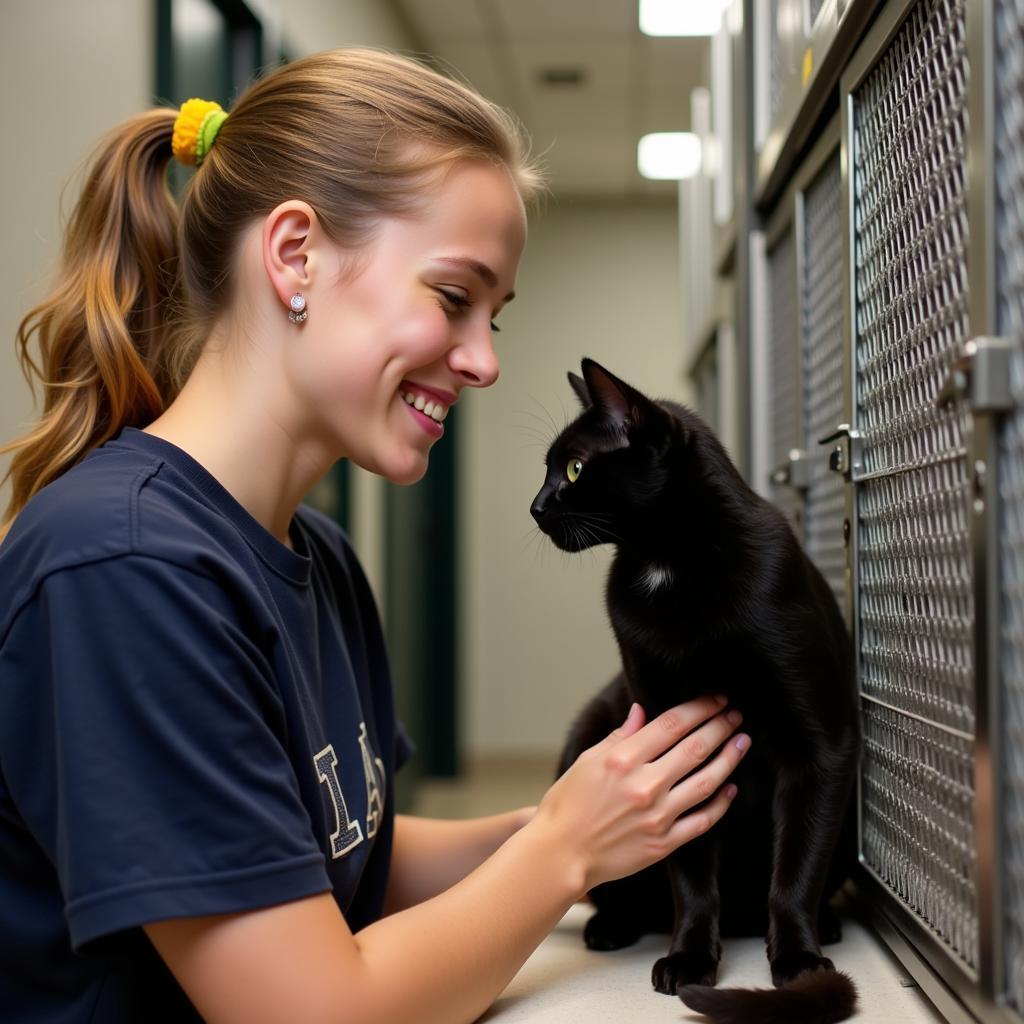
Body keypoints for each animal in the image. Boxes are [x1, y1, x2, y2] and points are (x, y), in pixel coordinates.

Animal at [532, 360, 860, 1024]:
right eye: (549, 469)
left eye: (573, 468)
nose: (536, 505)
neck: (668, 561)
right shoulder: (665, 734)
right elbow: (689, 872)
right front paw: (687, 960)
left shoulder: (822, 747)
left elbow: (796, 868)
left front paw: (799, 960)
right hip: (585, 736)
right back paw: (612, 926)